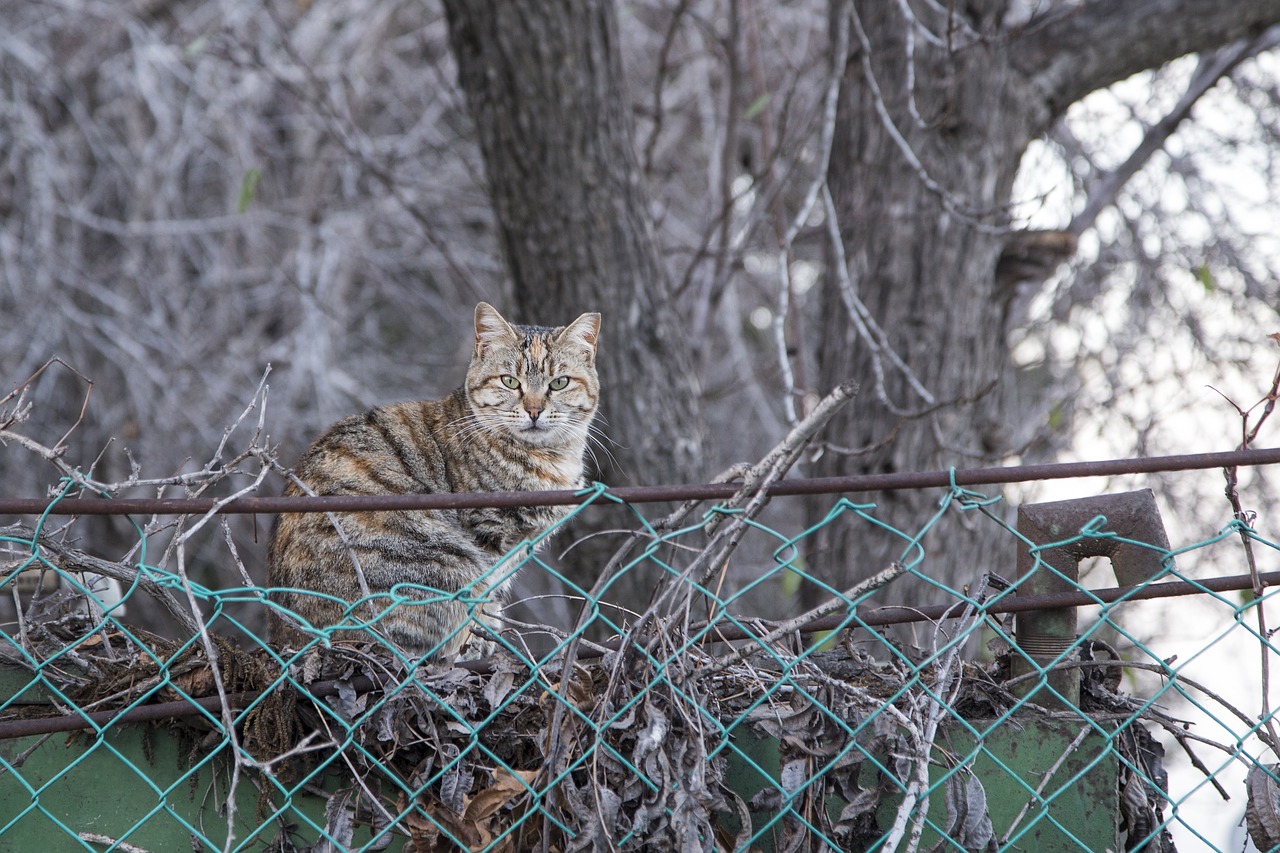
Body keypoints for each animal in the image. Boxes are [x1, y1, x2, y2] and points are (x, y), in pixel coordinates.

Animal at [266, 302, 604, 660]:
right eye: (510, 381)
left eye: (559, 383)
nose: (534, 410)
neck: (548, 460)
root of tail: (285, 639)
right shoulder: (486, 536)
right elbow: (484, 600)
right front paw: (480, 644)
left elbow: (494, 599)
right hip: (439, 562)